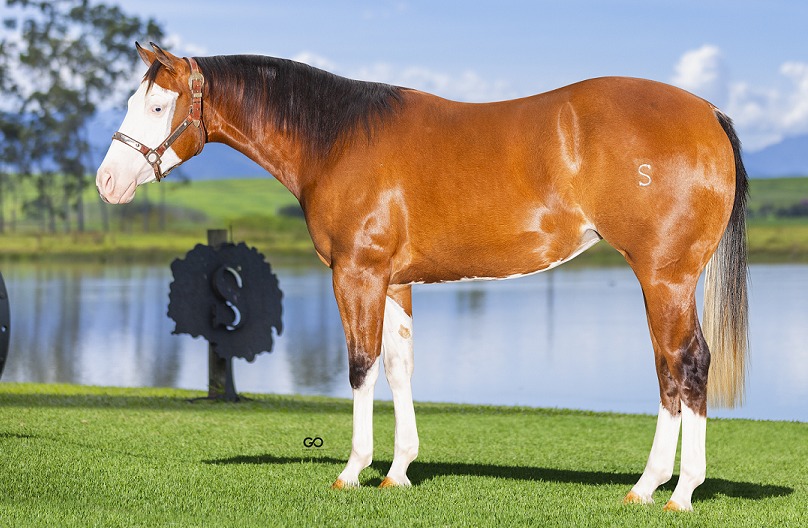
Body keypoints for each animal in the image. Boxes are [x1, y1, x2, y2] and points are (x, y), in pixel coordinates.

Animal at [97, 43, 749, 512]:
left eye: (157, 107)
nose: (107, 182)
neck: (337, 139)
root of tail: (707, 112)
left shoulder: (356, 273)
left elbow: (360, 365)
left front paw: (353, 471)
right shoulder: (395, 281)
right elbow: (398, 366)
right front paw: (399, 472)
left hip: (663, 277)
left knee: (686, 363)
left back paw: (675, 491)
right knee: (672, 369)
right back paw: (652, 486)